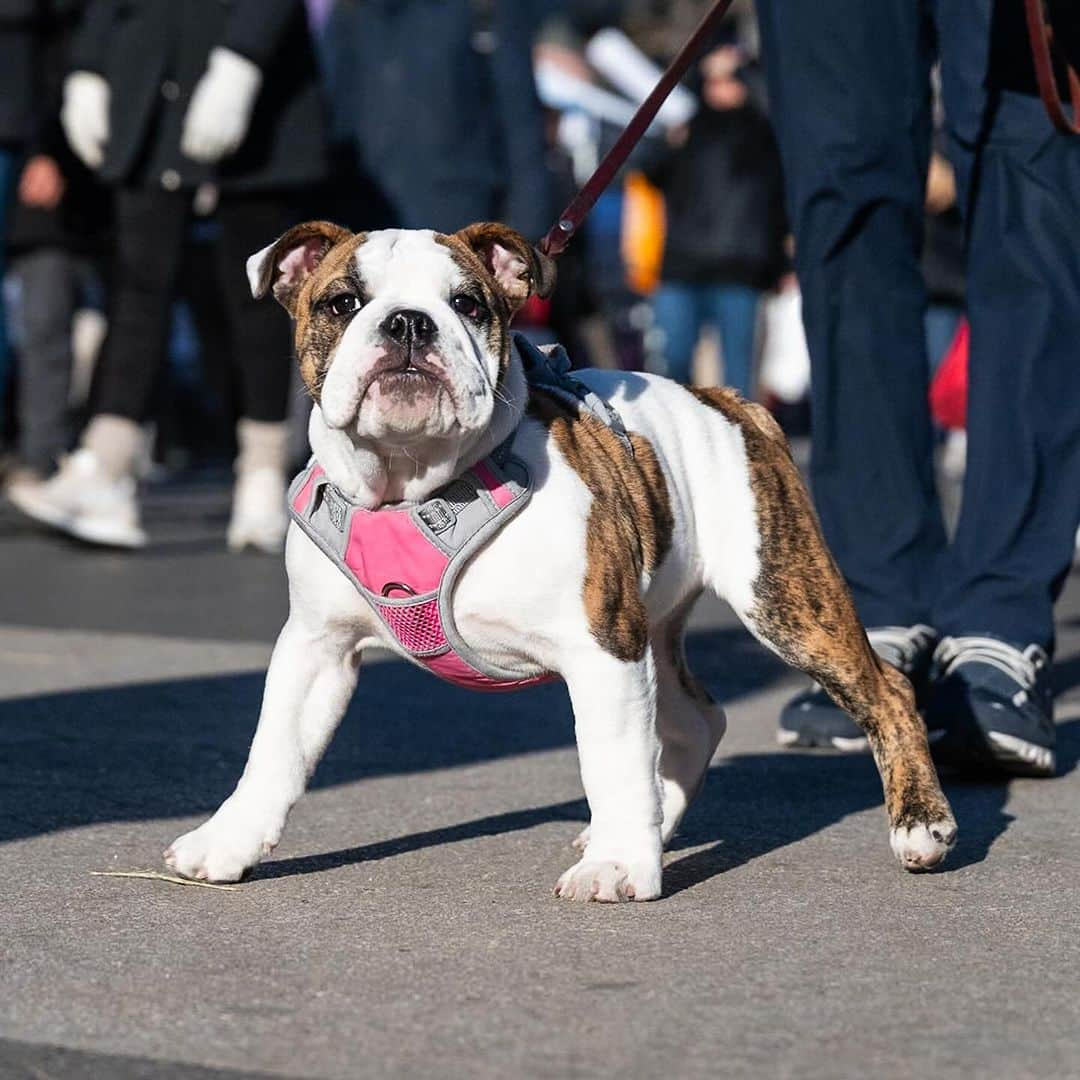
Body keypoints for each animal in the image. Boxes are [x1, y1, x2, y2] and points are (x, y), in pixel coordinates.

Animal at [164, 221, 959, 902]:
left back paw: (920, 826)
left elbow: (610, 759)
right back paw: (650, 827)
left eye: (466, 303)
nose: (409, 322)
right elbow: (273, 753)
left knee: (886, 690)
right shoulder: (316, 648)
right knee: (693, 724)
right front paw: (225, 843)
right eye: (343, 302)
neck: (413, 482)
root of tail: (728, 401)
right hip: (656, 628)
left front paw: (618, 867)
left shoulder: (601, 648)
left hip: (783, 600)